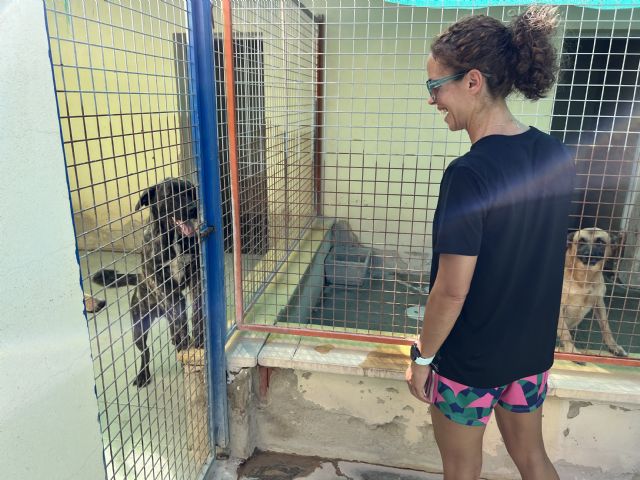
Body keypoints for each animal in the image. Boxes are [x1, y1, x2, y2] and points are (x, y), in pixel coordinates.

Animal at [91, 178, 202, 388]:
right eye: (170, 194)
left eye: (190, 192)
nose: (193, 208)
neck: (173, 238)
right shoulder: (159, 280)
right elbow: (178, 307)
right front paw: (185, 336)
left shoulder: (195, 273)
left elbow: (197, 307)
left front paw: (199, 334)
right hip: (138, 327)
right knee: (146, 351)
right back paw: (144, 374)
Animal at [556, 228, 628, 356]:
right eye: (581, 241)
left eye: (600, 242)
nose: (587, 254)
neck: (585, 278)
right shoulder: (560, 307)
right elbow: (565, 333)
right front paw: (571, 350)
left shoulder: (599, 303)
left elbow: (606, 327)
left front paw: (613, 346)